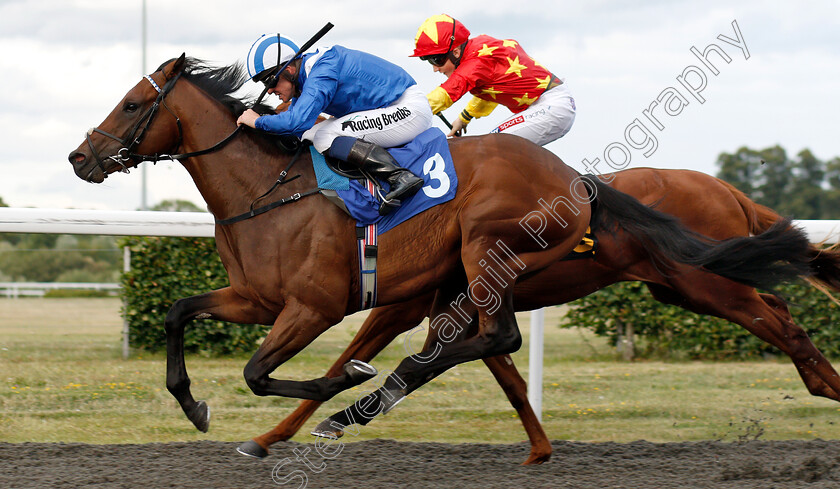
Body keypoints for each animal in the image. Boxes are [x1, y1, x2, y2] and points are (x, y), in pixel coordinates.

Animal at [244, 167, 840, 462]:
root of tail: (727, 189)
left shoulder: (409, 305)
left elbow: (354, 358)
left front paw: (290, 429)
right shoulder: (451, 306)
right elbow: (501, 375)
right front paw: (538, 449)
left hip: (704, 283)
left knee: (783, 325)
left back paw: (826, 387)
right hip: (686, 287)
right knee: (778, 307)